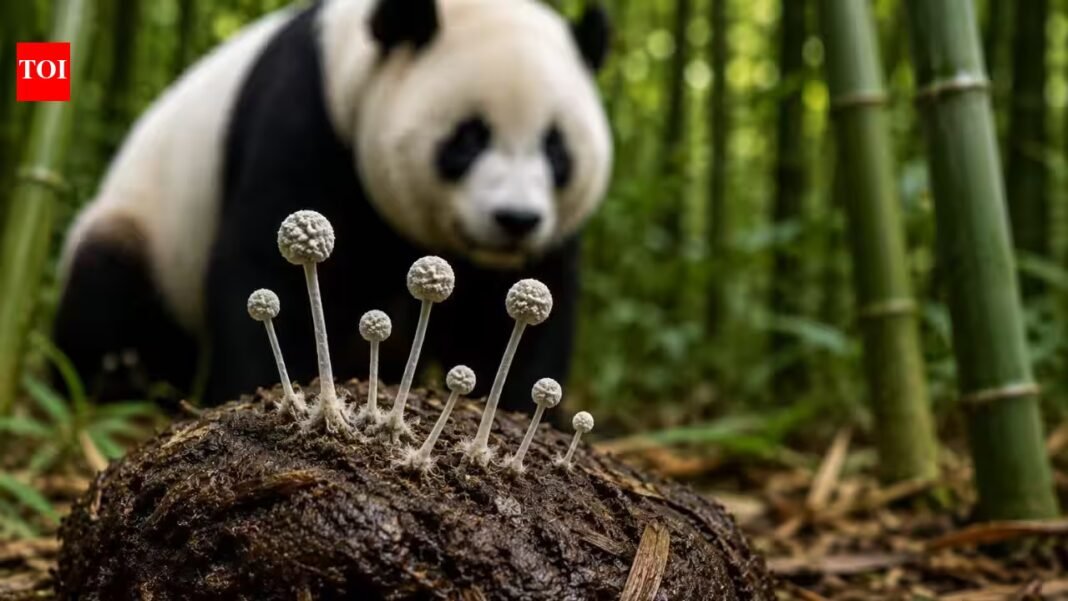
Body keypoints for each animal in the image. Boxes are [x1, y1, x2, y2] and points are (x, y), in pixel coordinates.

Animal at [54, 0, 613, 411]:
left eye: (556, 149)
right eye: (468, 139)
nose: (516, 220)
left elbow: (512, 321)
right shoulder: (308, 119)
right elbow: (265, 267)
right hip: (144, 226)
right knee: (104, 293)